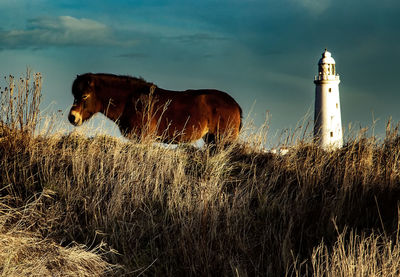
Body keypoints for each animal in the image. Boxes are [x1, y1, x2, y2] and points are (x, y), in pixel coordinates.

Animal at [68, 72, 242, 143]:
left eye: (84, 96)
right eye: (74, 94)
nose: (72, 117)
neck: (131, 100)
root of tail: (235, 104)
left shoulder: (144, 139)